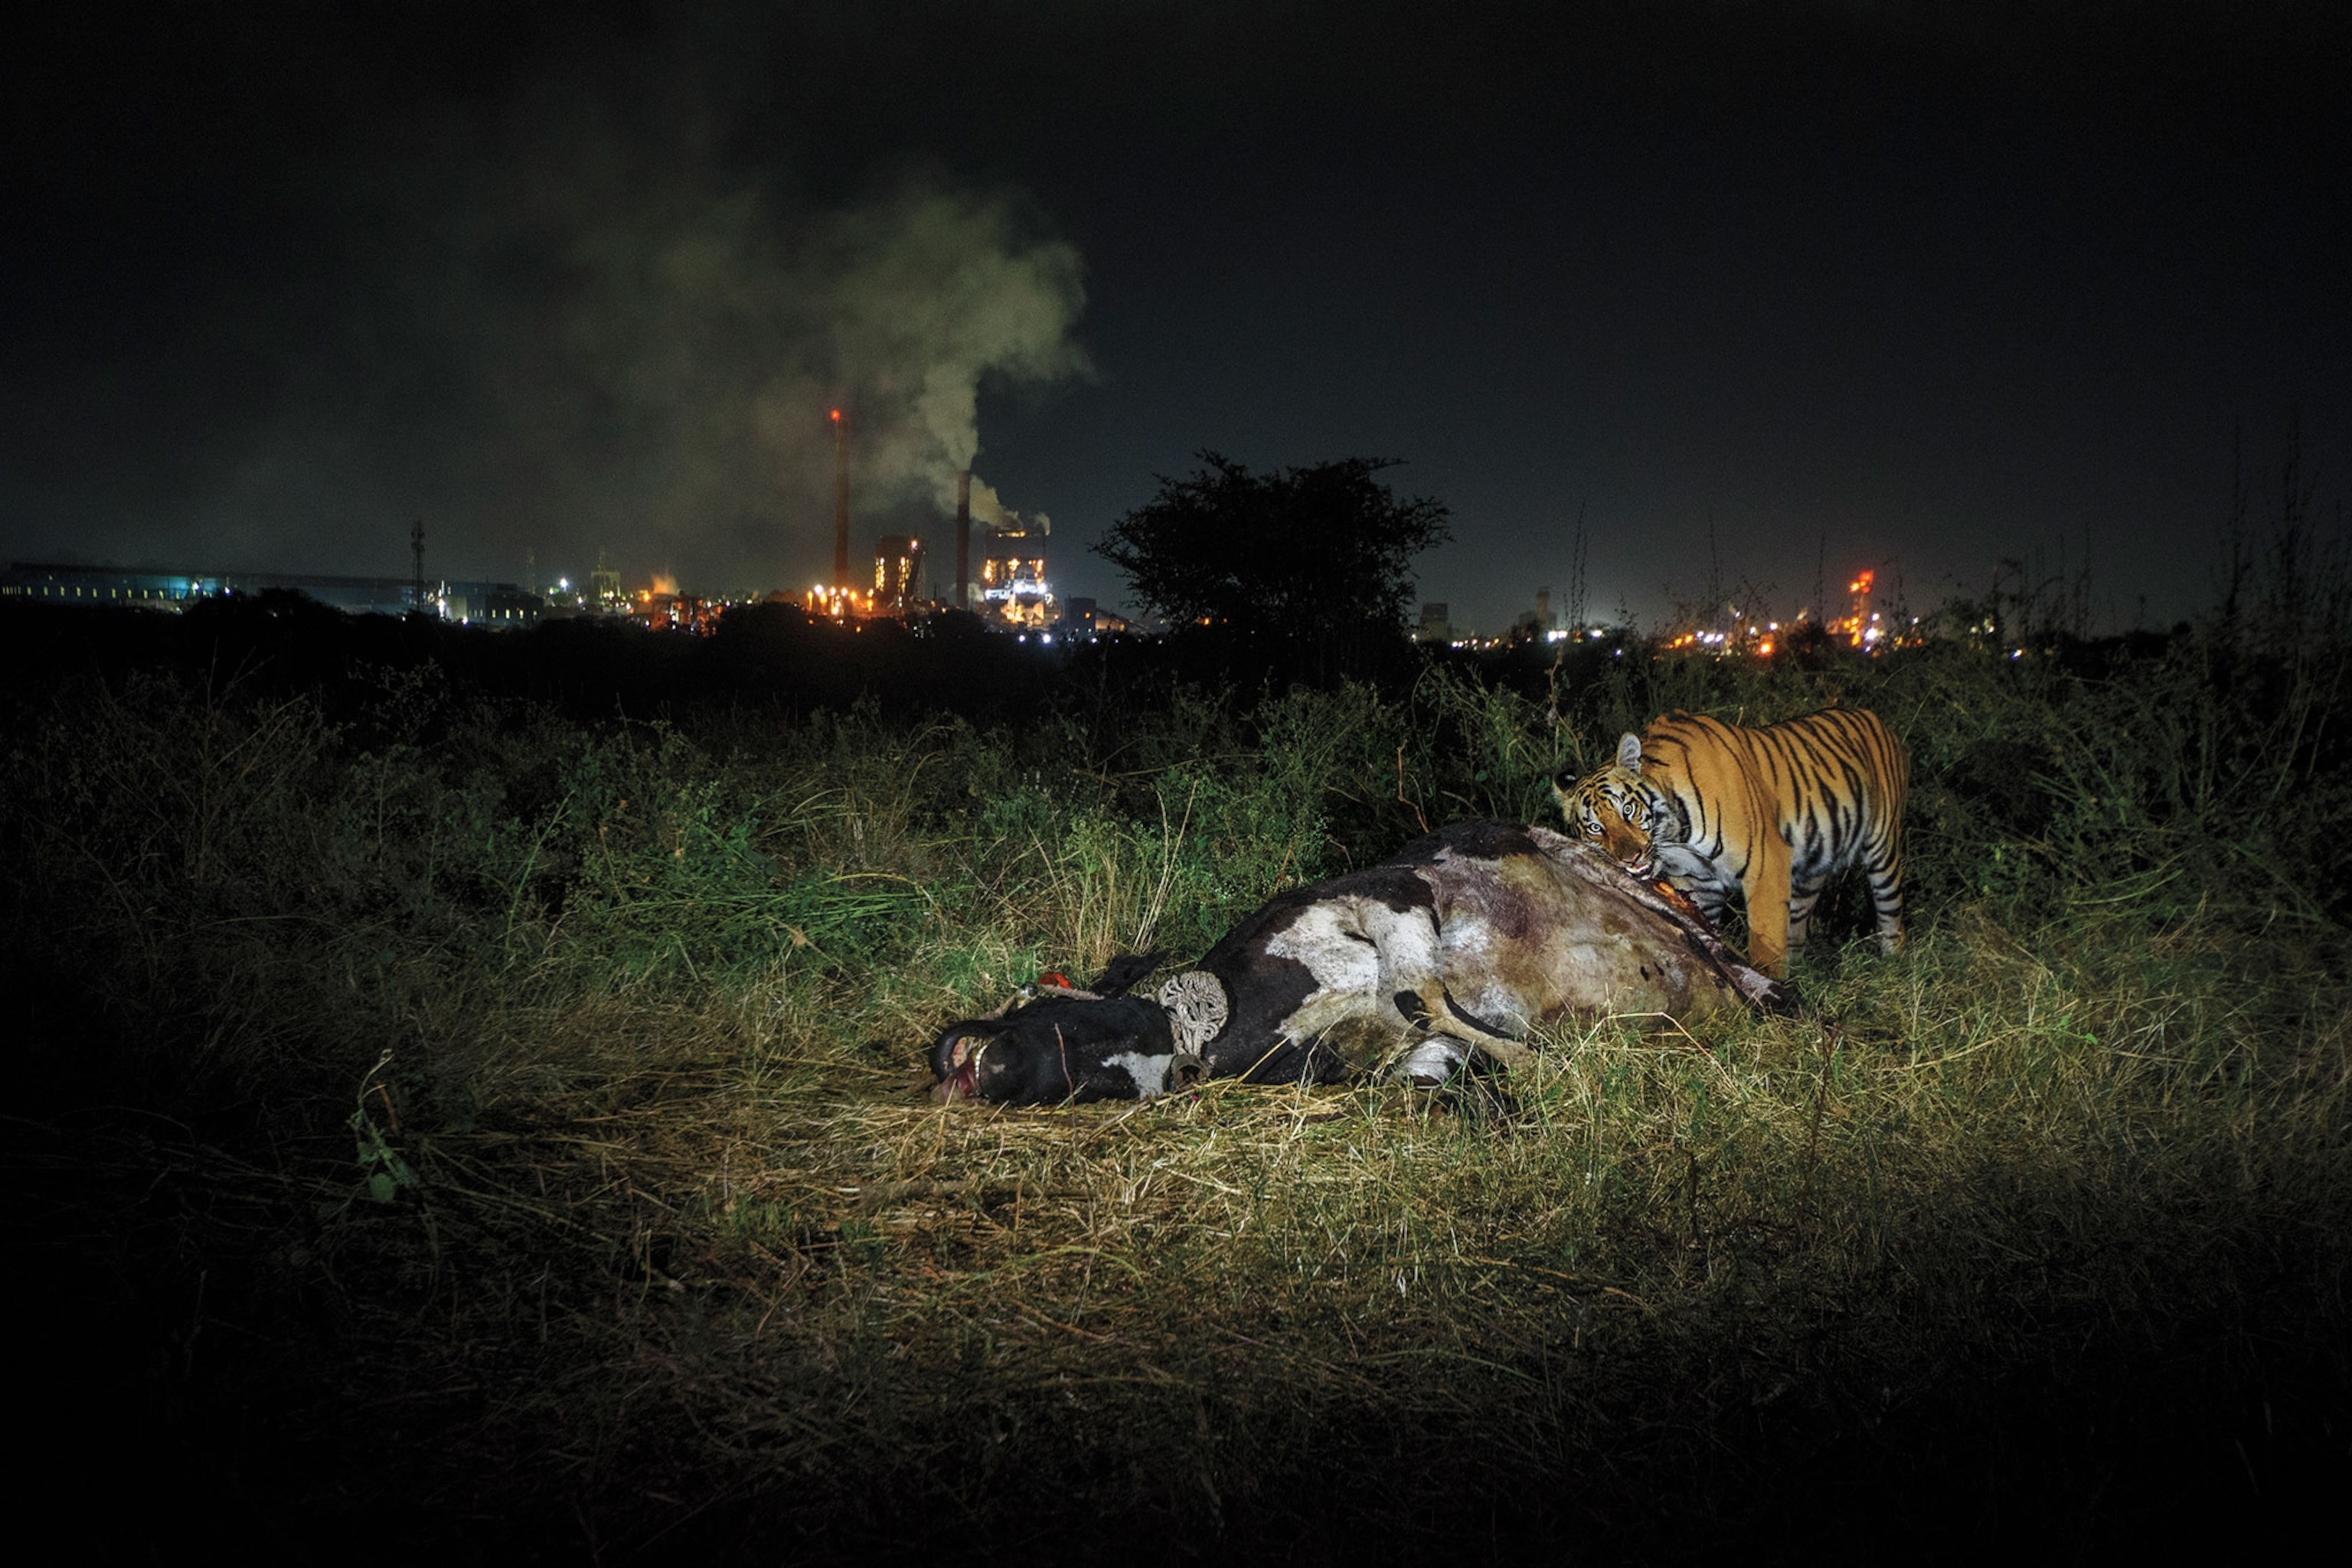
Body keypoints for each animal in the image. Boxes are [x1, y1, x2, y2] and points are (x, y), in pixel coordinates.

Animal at [929, 819, 1790, 1106]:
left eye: (1044, 993)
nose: (973, 1059)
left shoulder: (1391, 889)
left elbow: (1415, 991)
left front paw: (1552, 1064)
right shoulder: (1401, 1059)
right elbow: (1426, 1054)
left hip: (1611, 868)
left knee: (1741, 966)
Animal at [1551, 707, 1908, 979]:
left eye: (1627, 809)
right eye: (1596, 827)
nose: (1631, 858)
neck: (1675, 838)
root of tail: (1875, 716)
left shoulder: (1767, 866)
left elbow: (1765, 943)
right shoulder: (1698, 882)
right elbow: (1707, 929)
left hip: (1883, 848)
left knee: (1891, 912)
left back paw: (1894, 962)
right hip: (1812, 868)